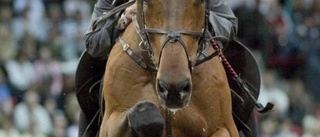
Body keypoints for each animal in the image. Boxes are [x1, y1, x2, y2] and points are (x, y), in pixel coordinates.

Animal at [99, 0, 239, 136]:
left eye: (201, 1)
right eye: (146, 2)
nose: (173, 90)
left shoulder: (224, 127)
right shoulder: (109, 121)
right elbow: (145, 115)